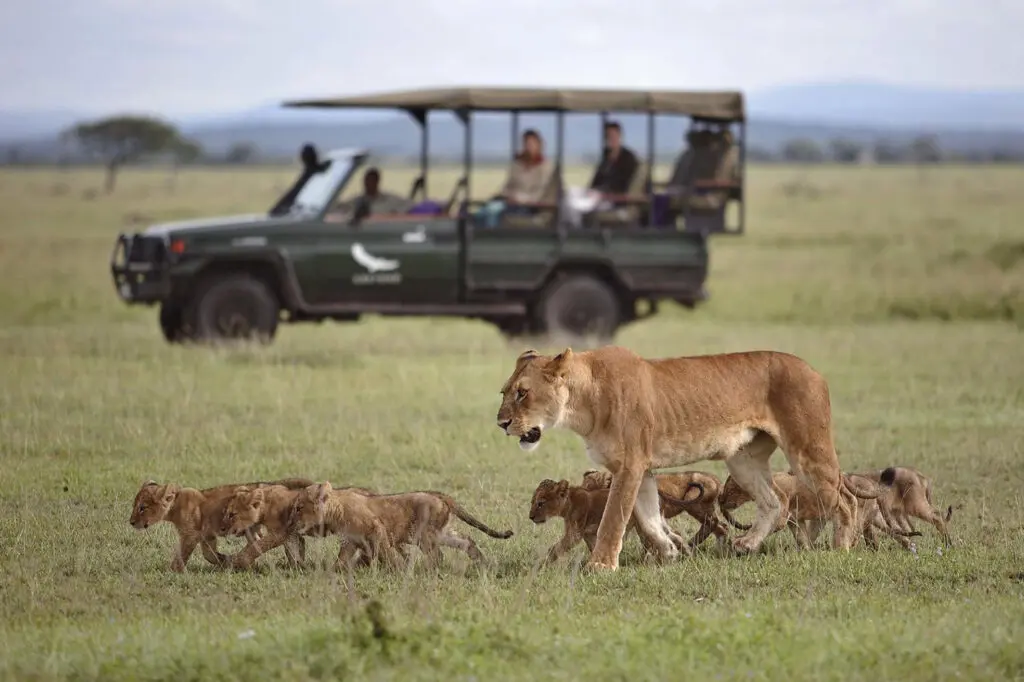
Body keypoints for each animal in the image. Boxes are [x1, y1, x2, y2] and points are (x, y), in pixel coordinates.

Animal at [128, 477, 314, 572]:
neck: (175, 506)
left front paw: (173, 571)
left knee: (287, 539)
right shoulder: (207, 536)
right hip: (252, 528)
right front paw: (225, 560)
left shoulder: (190, 535)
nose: (131, 522)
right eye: (135, 506)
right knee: (291, 540)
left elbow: (182, 555)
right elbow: (208, 555)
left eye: (142, 507)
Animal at [290, 482, 514, 570]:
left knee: (438, 556)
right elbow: (342, 560)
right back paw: (482, 562)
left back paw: (426, 572)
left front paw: (396, 570)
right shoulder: (351, 542)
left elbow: (386, 554)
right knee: (467, 541)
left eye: (299, 507)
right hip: (441, 533)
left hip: (425, 535)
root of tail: (442, 496)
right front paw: (338, 571)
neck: (335, 509)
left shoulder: (377, 529)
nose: (291, 522)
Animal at [529, 477, 705, 565]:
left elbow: (555, 549)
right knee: (675, 535)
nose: (530, 517)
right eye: (532, 502)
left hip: (642, 524)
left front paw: (543, 563)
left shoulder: (575, 534)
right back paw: (688, 556)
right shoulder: (587, 534)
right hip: (656, 520)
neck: (568, 503)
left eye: (540, 503)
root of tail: (659, 492)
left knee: (655, 542)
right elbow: (593, 548)